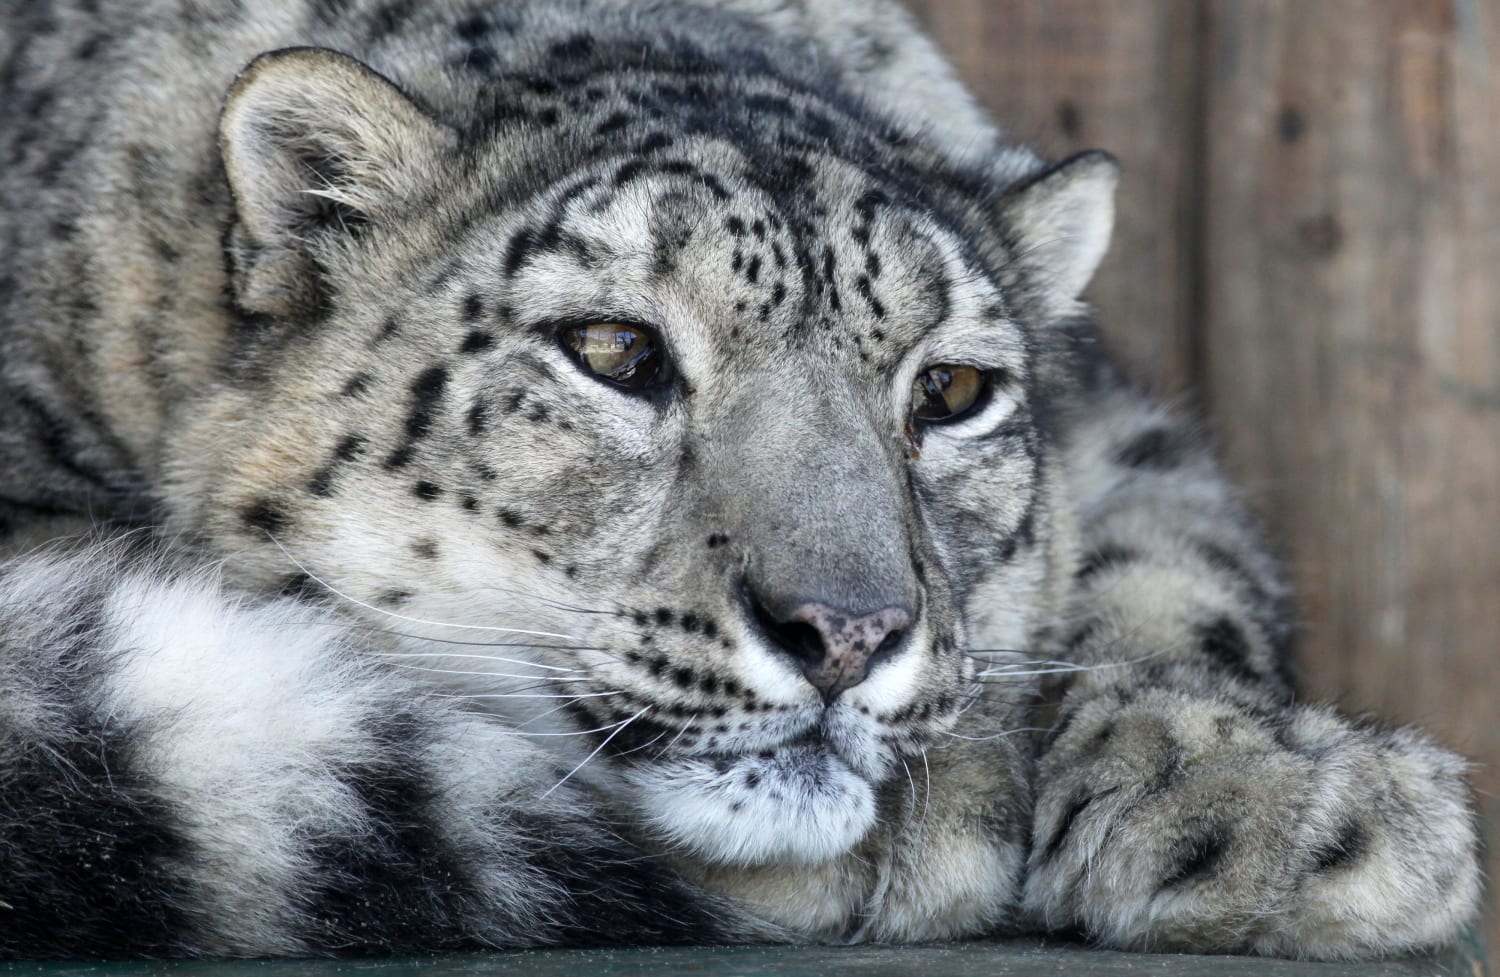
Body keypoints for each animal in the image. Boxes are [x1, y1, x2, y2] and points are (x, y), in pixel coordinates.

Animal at [0, 0, 1482, 960]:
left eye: (953, 390)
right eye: (613, 349)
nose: (848, 630)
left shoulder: (1120, 416)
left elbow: (1181, 554)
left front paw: (1277, 802)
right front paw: (944, 822)